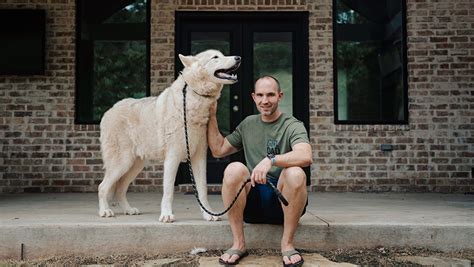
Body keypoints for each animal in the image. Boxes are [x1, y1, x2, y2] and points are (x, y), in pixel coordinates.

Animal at [99, 49, 241, 223]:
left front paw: (209, 214)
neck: (195, 99)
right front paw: (166, 215)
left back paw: (129, 210)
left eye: (223, 55)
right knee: (103, 187)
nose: (238, 58)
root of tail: (108, 111)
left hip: (134, 165)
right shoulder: (172, 157)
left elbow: (202, 190)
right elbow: (168, 191)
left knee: (119, 188)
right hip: (122, 163)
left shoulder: (199, 158)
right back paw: (105, 211)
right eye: (215, 57)